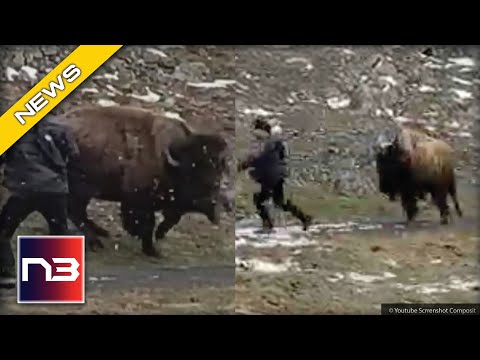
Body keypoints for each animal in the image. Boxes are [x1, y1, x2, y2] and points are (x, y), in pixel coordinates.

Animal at [58, 105, 231, 258]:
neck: (169, 162)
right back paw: (95, 241)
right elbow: (148, 224)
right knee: (75, 211)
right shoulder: (141, 201)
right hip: (83, 189)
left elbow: (167, 219)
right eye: (193, 172)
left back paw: (101, 233)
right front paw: (152, 250)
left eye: (219, 171)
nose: (213, 204)